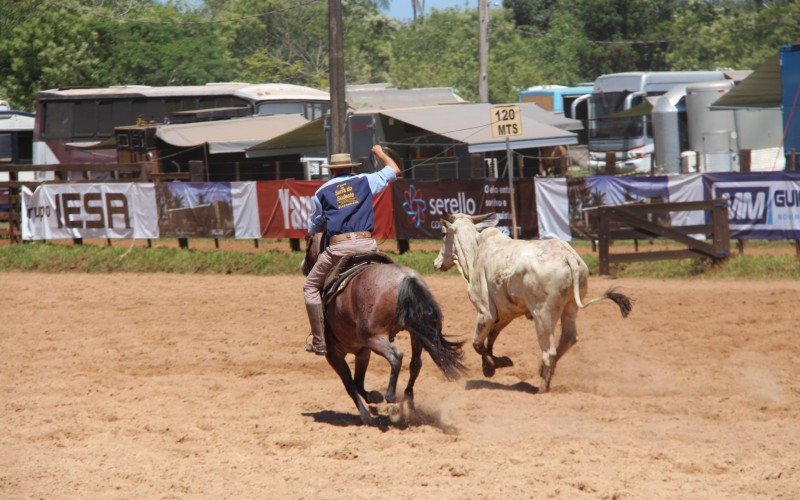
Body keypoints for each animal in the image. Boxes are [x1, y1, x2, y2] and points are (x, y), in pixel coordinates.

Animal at [302, 234, 466, 426]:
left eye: (308, 240)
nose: (303, 266)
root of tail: (405, 278)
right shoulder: (363, 351)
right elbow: (358, 382)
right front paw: (373, 398)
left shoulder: (334, 355)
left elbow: (350, 385)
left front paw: (366, 415)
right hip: (415, 333)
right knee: (415, 364)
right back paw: (408, 401)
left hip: (374, 337)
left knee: (396, 356)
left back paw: (391, 397)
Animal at [432, 211, 632, 390]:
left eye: (442, 233)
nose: (436, 263)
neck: (475, 252)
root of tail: (568, 256)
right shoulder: (505, 314)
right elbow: (491, 339)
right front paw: (499, 362)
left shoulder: (485, 312)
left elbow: (478, 343)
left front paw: (490, 367)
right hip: (570, 307)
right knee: (568, 338)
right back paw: (542, 370)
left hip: (542, 315)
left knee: (549, 351)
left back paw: (542, 387)